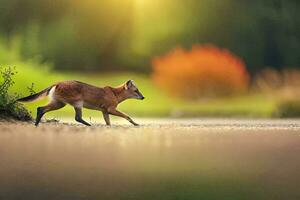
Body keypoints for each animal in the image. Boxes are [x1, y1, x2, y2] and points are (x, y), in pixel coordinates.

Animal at [17, 79, 145, 126]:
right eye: (136, 90)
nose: (143, 97)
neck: (115, 93)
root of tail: (57, 83)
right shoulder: (110, 109)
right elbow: (127, 116)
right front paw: (135, 124)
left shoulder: (104, 111)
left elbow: (108, 123)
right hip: (77, 103)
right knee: (77, 118)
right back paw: (89, 125)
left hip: (59, 103)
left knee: (40, 108)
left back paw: (36, 124)